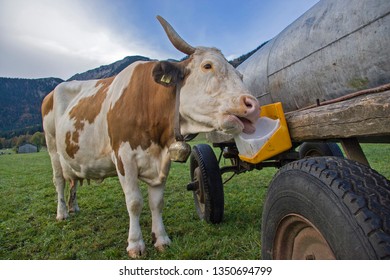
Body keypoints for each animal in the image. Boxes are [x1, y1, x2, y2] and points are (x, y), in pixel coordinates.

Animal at [41, 16, 258, 258]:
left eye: (240, 75)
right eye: (207, 65)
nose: (252, 104)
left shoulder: (163, 160)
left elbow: (157, 202)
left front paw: (161, 239)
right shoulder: (124, 158)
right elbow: (134, 202)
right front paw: (135, 244)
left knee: (72, 181)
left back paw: (74, 207)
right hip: (53, 149)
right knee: (59, 180)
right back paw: (62, 213)